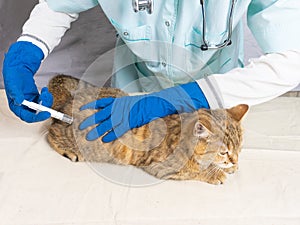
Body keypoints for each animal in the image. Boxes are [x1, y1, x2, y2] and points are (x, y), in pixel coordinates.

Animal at [47, 74, 248, 184]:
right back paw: (69, 151)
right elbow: (195, 171)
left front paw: (230, 167)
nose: (234, 159)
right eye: (223, 152)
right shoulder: (162, 167)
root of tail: (68, 102)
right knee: (51, 133)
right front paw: (216, 173)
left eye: (239, 149)